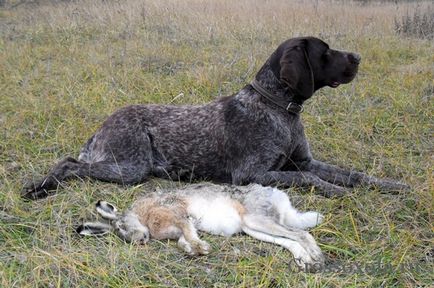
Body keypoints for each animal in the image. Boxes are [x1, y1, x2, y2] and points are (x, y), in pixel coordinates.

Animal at [22, 36, 410, 199]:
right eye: (325, 52)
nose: (358, 57)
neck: (278, 110)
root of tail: (102, 125)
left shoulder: (304, 161)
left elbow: (354, 174)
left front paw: (391, 184)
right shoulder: (252, 175)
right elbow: (311, 180)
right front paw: (334, 190)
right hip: (131, 168)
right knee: (69, 163)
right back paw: (41, 187)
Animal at [76, 182, 324, 272]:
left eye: (123, 226)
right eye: (120, 234)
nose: (140, 240)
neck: (143, 215)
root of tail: (279, 197)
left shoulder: (177, 214)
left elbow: (187, 230)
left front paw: (201, 248)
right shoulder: (182, 227)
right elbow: (182, 240)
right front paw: (193, 250)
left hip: (256, 218)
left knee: (301, 233)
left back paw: (315, 256)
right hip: (252, 227)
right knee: (290, 240)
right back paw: (304, 261)